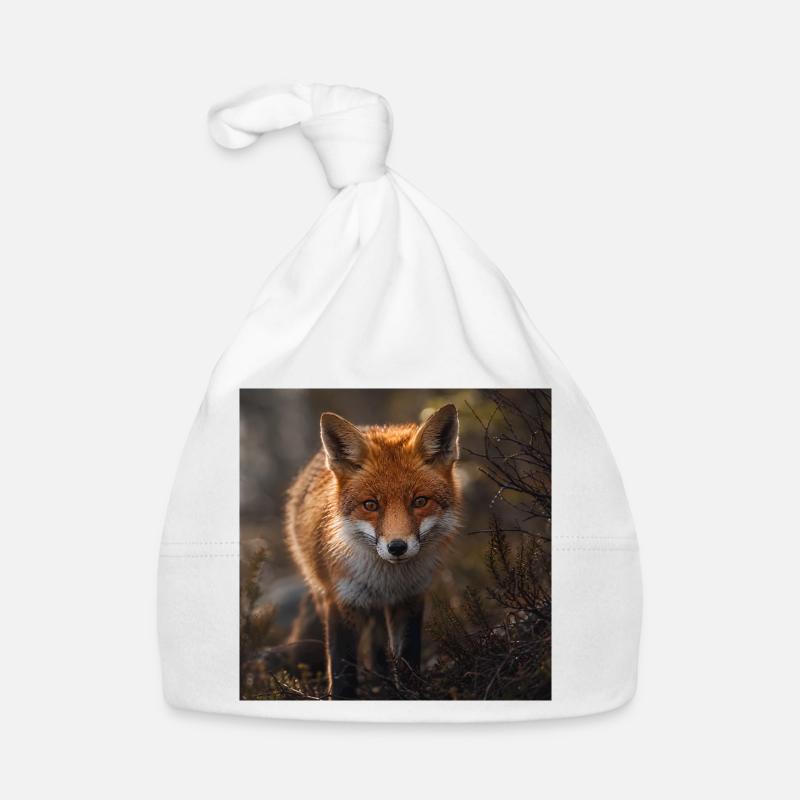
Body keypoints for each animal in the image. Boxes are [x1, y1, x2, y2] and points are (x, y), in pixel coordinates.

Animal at [285, 403, 461, 699]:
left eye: (420, 501)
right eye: (370, 505)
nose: (397, 547)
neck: (386, 579)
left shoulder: (410, 598)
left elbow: (408, 659)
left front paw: (410, 694)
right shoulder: (341, 601)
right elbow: (343, 671)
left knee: (379, 649)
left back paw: (383, 684)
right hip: (322, 593)